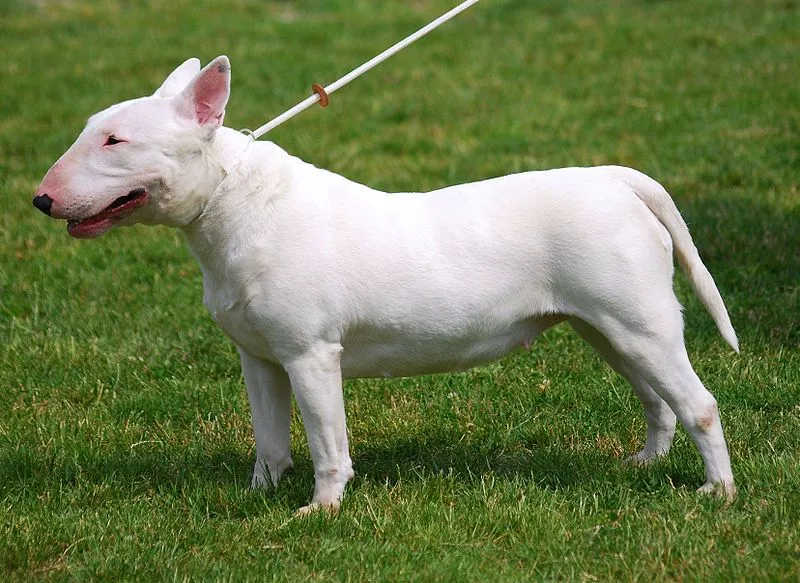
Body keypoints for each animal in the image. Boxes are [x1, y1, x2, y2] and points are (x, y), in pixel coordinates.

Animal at [36, 54, 736, 512]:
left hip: (639, 322)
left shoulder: (311, 354)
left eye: (115, 140)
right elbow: (270, 440)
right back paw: (644, 463)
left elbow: (327, 443)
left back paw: (718, 493)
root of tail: (617, 178)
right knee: (657, 400)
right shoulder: (259, 357)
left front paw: (320, 510)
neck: (234, 203)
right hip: (606, 328)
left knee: (697, 403)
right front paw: (258, 496)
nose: (41, 199)